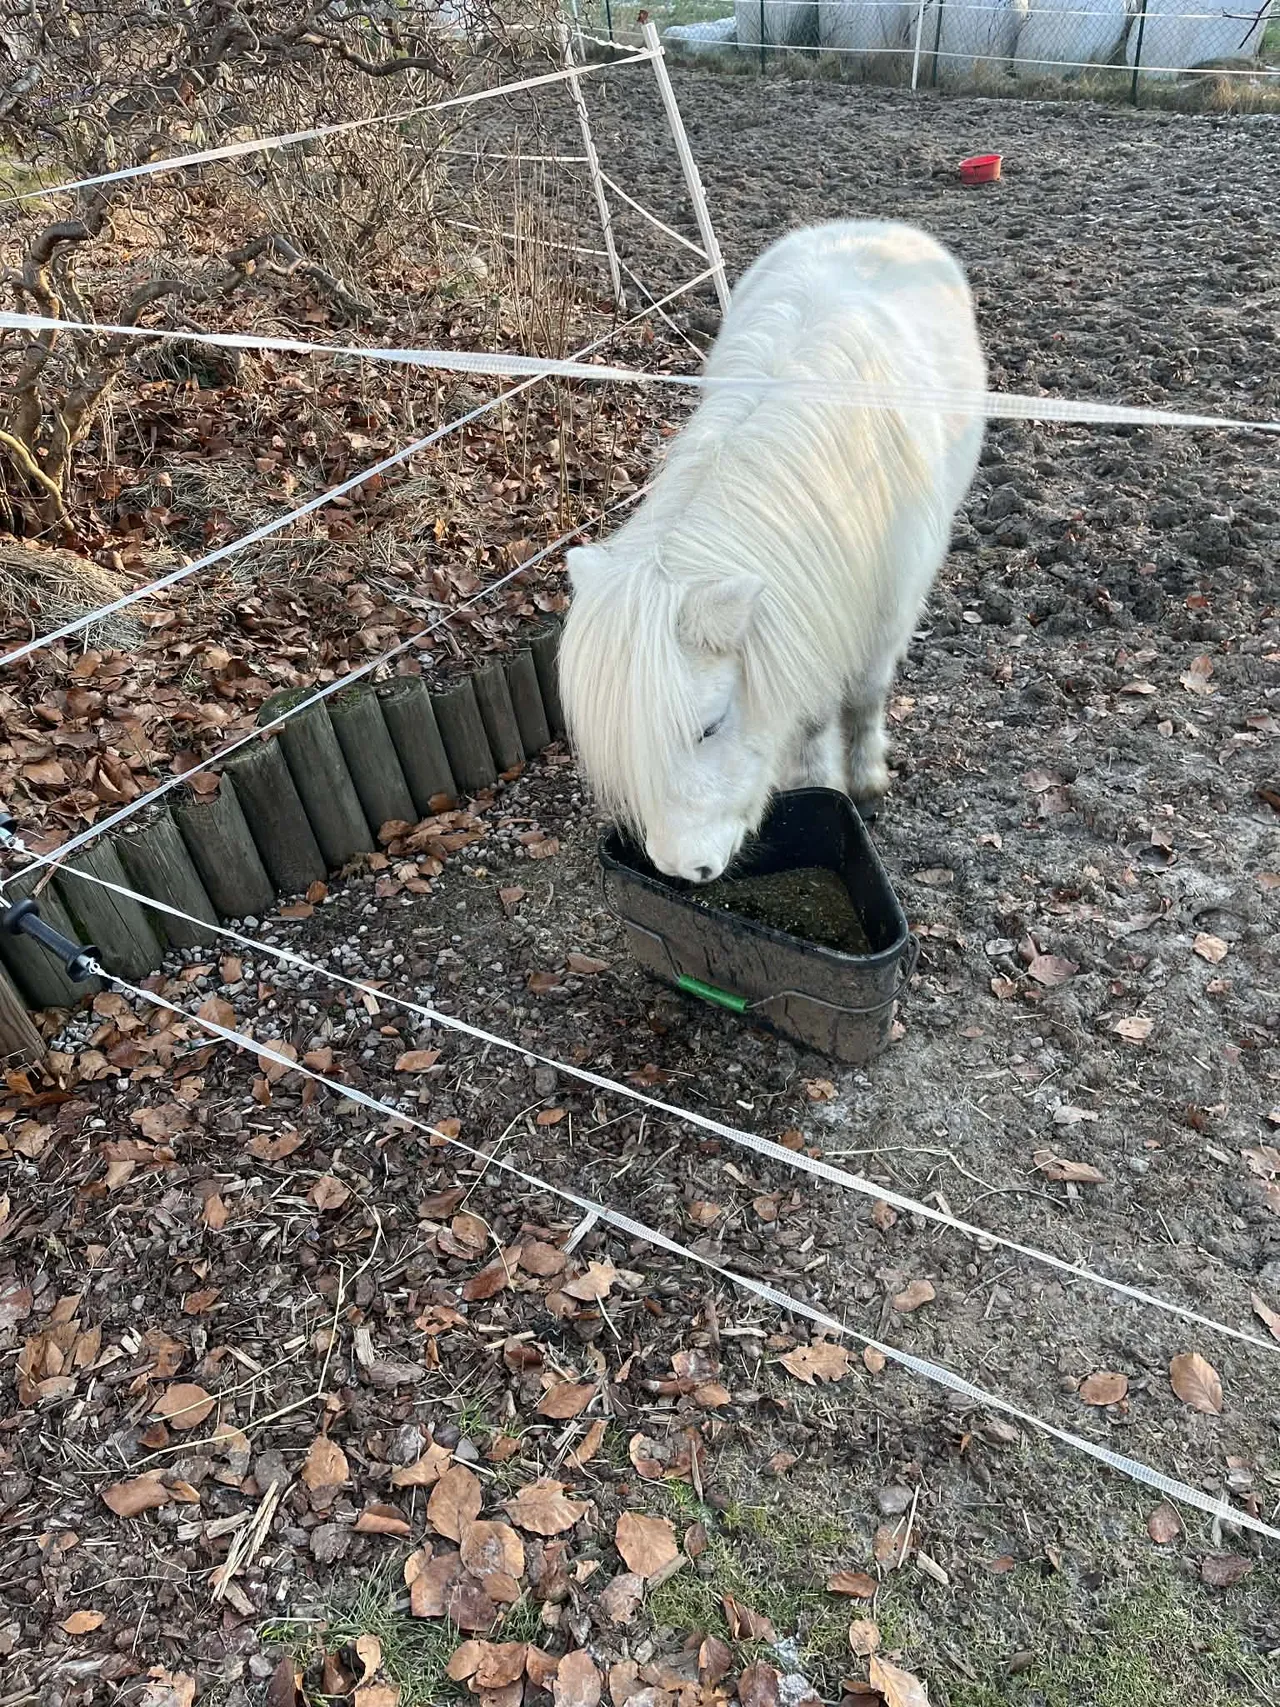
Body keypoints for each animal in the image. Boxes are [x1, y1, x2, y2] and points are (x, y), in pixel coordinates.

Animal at [559, 219, 985, 884]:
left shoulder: (885, 618)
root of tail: (873, 226)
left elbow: (864, 697)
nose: (680, 868)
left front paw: (863, 783)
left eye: (708, 728)